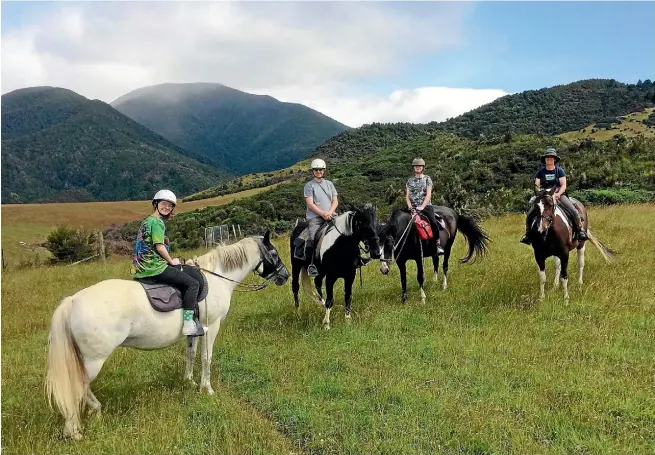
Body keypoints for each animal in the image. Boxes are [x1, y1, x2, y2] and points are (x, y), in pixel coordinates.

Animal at [44, 233, 288, 440]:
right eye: (274, 254)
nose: (285, 276)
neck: (217, 278)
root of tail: (73, 301)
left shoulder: (196, 330)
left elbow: (191, 354)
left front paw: (189, 381)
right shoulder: (212, 327)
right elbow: (206, 358)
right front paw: (206, 389)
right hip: (93, 360)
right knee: (77, 386)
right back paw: (76, 428)